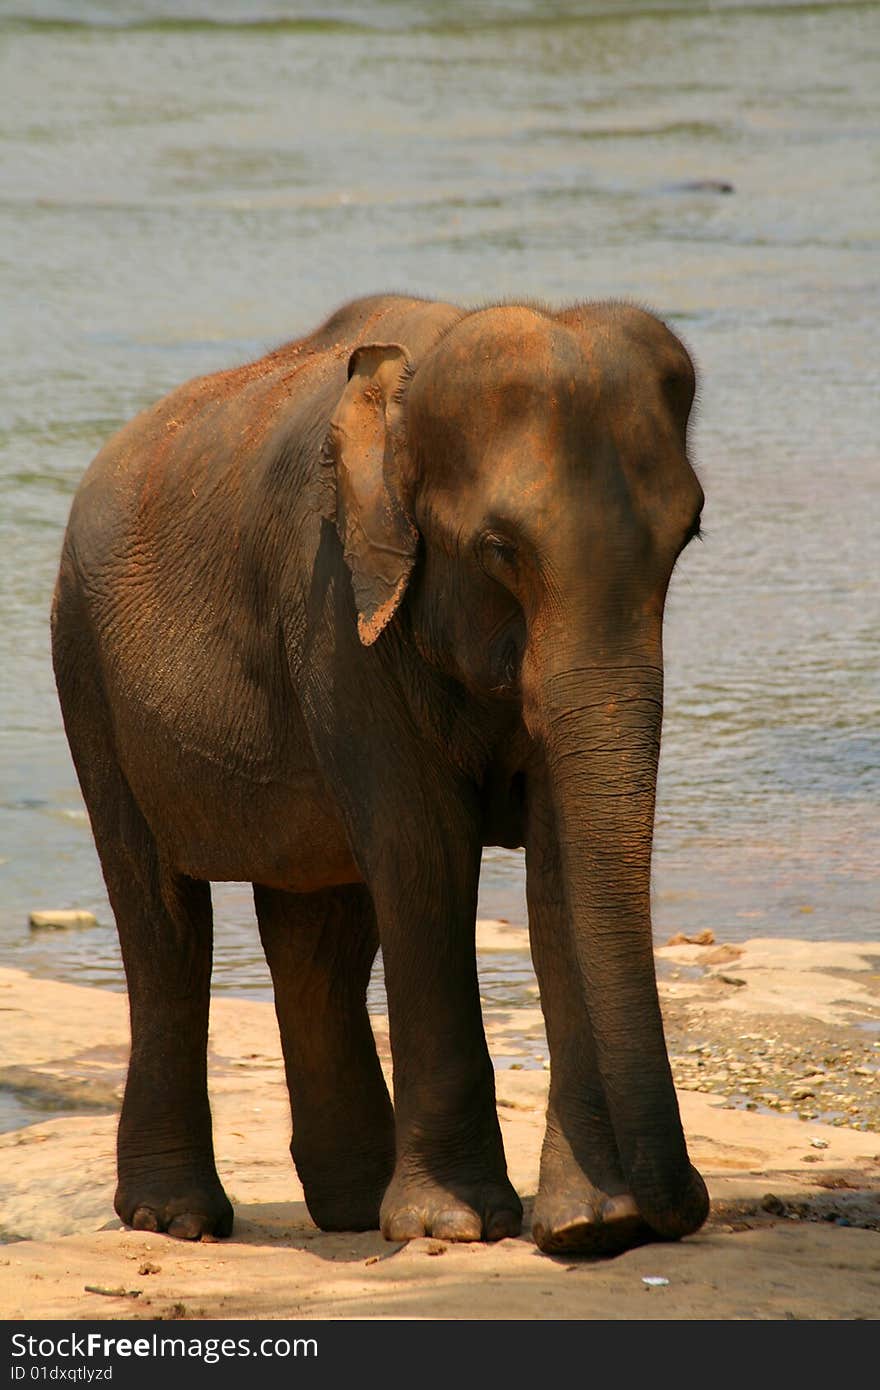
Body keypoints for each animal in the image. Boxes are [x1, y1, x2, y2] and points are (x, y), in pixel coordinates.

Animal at [51, 287, 706, 1256]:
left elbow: (557, 870)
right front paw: (457, 1225)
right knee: (161, 919)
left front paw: (591, 1226)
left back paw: (354, 1208)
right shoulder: (333, 606)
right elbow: (423, 854)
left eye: (687, 539)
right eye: (500, 550)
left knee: (317, 932)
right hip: (85, 668)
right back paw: (178, 1219)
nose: (684, 1208)